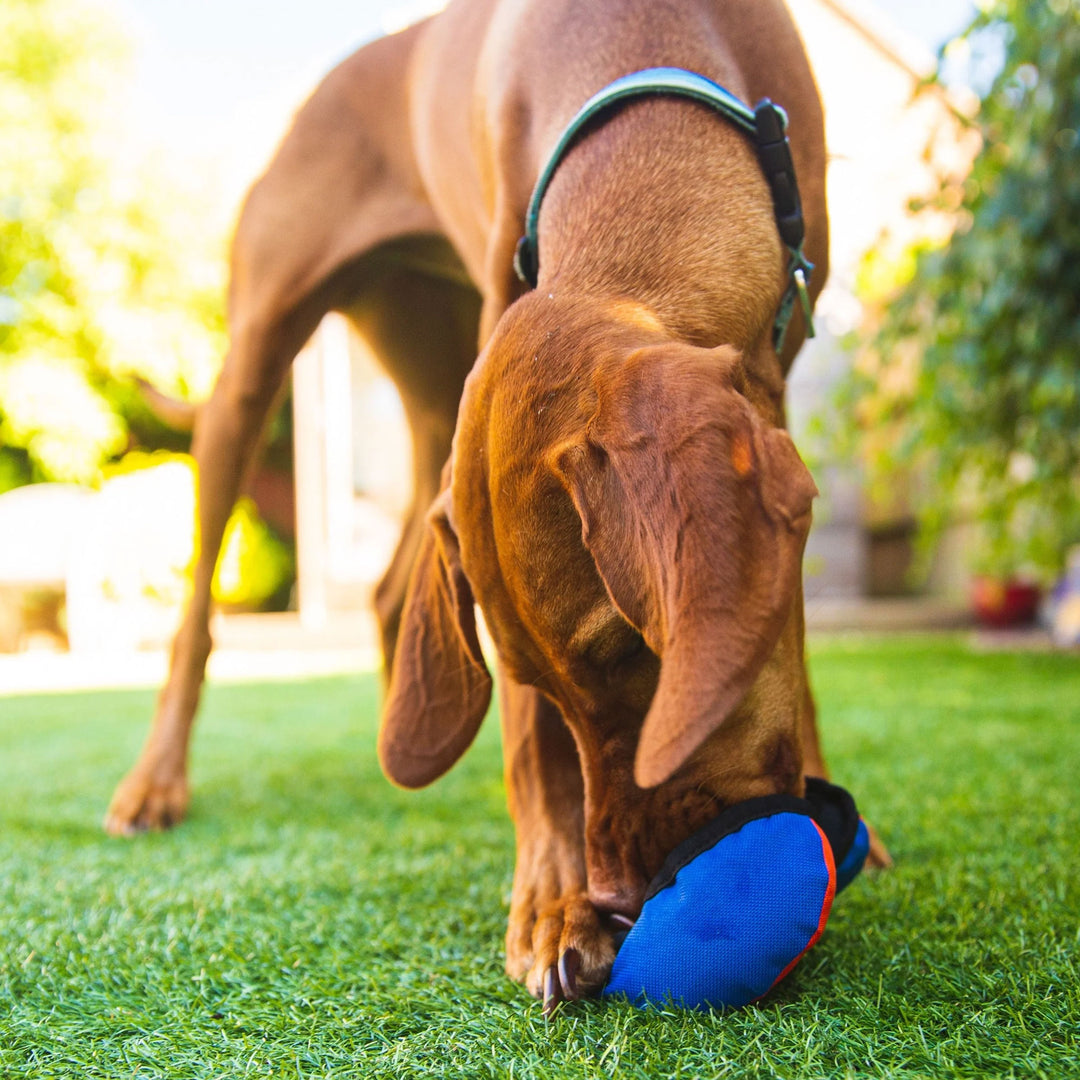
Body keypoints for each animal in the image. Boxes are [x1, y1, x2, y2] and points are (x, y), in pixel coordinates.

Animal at [103, 0, 876, 1010]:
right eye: (537, 679)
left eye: (639, 648)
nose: (620, 896)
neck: (650, 61)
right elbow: (529, 745)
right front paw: (552, 909)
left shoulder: (773, 378)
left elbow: (788, 636)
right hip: (256, 361)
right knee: (197, 611)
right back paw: (155, 784)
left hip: (435, 394)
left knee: (390, 587)